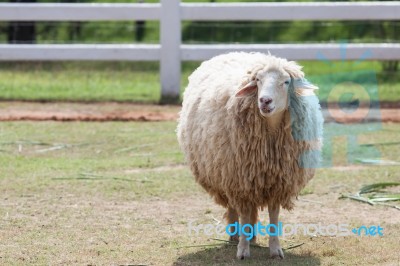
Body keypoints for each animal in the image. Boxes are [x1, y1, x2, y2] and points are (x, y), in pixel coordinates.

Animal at [177, 51, 324, 260]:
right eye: (258, 80)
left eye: (286, 81)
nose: (264, 101)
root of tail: (235, 52)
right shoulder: (239, 180)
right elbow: (244, 213)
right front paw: (242, 251)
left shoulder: (277, 181)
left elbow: (274, 215)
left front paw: (275, 250)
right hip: (229, 174)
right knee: (233, 207)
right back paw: (235, 236)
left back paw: (252, 236)